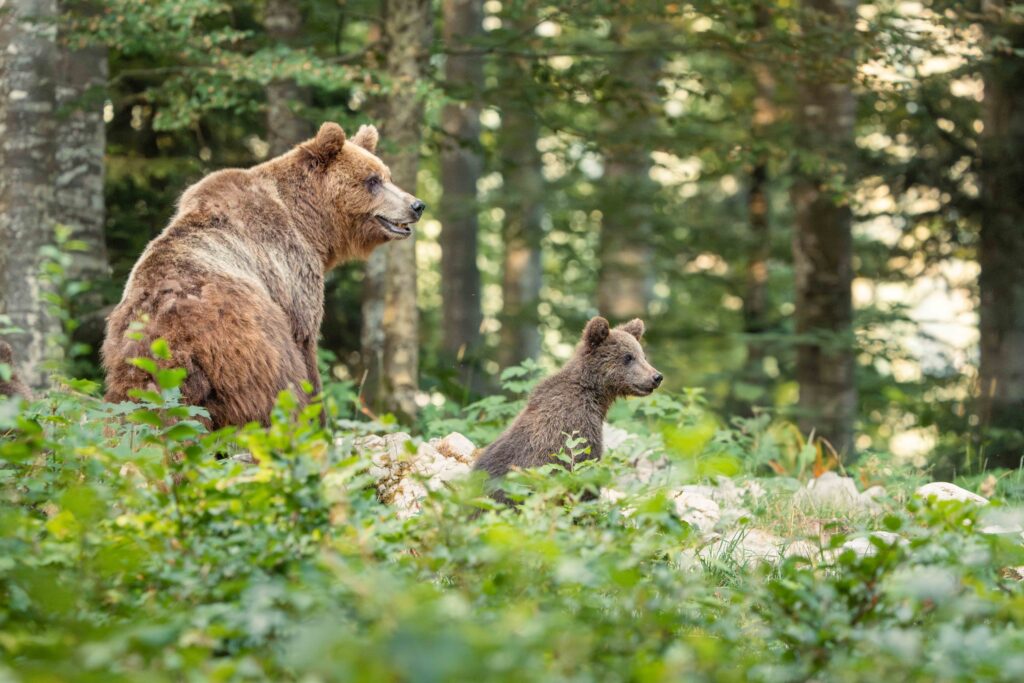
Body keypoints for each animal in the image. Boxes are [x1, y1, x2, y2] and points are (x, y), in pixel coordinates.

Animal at [102, 122, 425, 429]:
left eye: (387, 175)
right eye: (372, 180)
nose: (417, 205)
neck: (312, 224)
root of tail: (169, 331)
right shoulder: (290, 271)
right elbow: (307, 349)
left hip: (132, 360)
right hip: (250, 340)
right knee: (275, 392)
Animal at [473, 316, 662, 500]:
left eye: (643, 356)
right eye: (628, 357)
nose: (657, 377)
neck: (595, 395)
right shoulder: (577, 429)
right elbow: (584, 469)